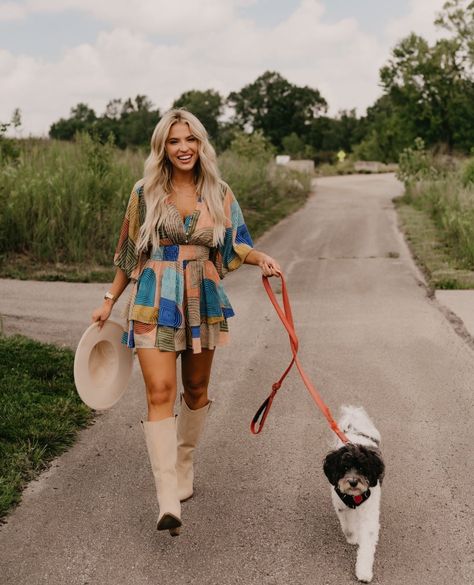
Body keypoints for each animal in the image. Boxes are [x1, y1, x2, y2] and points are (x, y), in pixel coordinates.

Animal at [322, 404, 386, 580]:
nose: (352, 481)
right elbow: (349, 528)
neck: (354, 497)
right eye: (344, 468)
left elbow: (367, 544)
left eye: (362, 469)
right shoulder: (341, 506)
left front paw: (363, 571)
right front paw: (353, 538)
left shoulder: (369, 513)